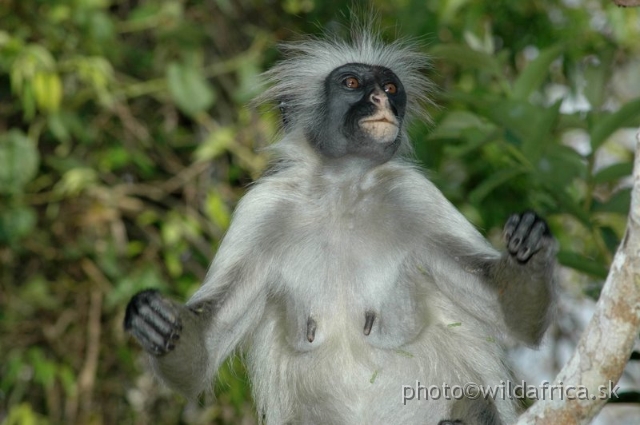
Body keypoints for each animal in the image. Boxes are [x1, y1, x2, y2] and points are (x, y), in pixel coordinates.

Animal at [124, 24, 556, 424]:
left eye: (390, 87)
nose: (382, 99)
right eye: (352, 83)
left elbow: (508, 314)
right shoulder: (260, 210)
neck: (341, 194)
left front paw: (529, 252)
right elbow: (205, 350)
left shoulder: (413, 196)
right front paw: (157, 325)